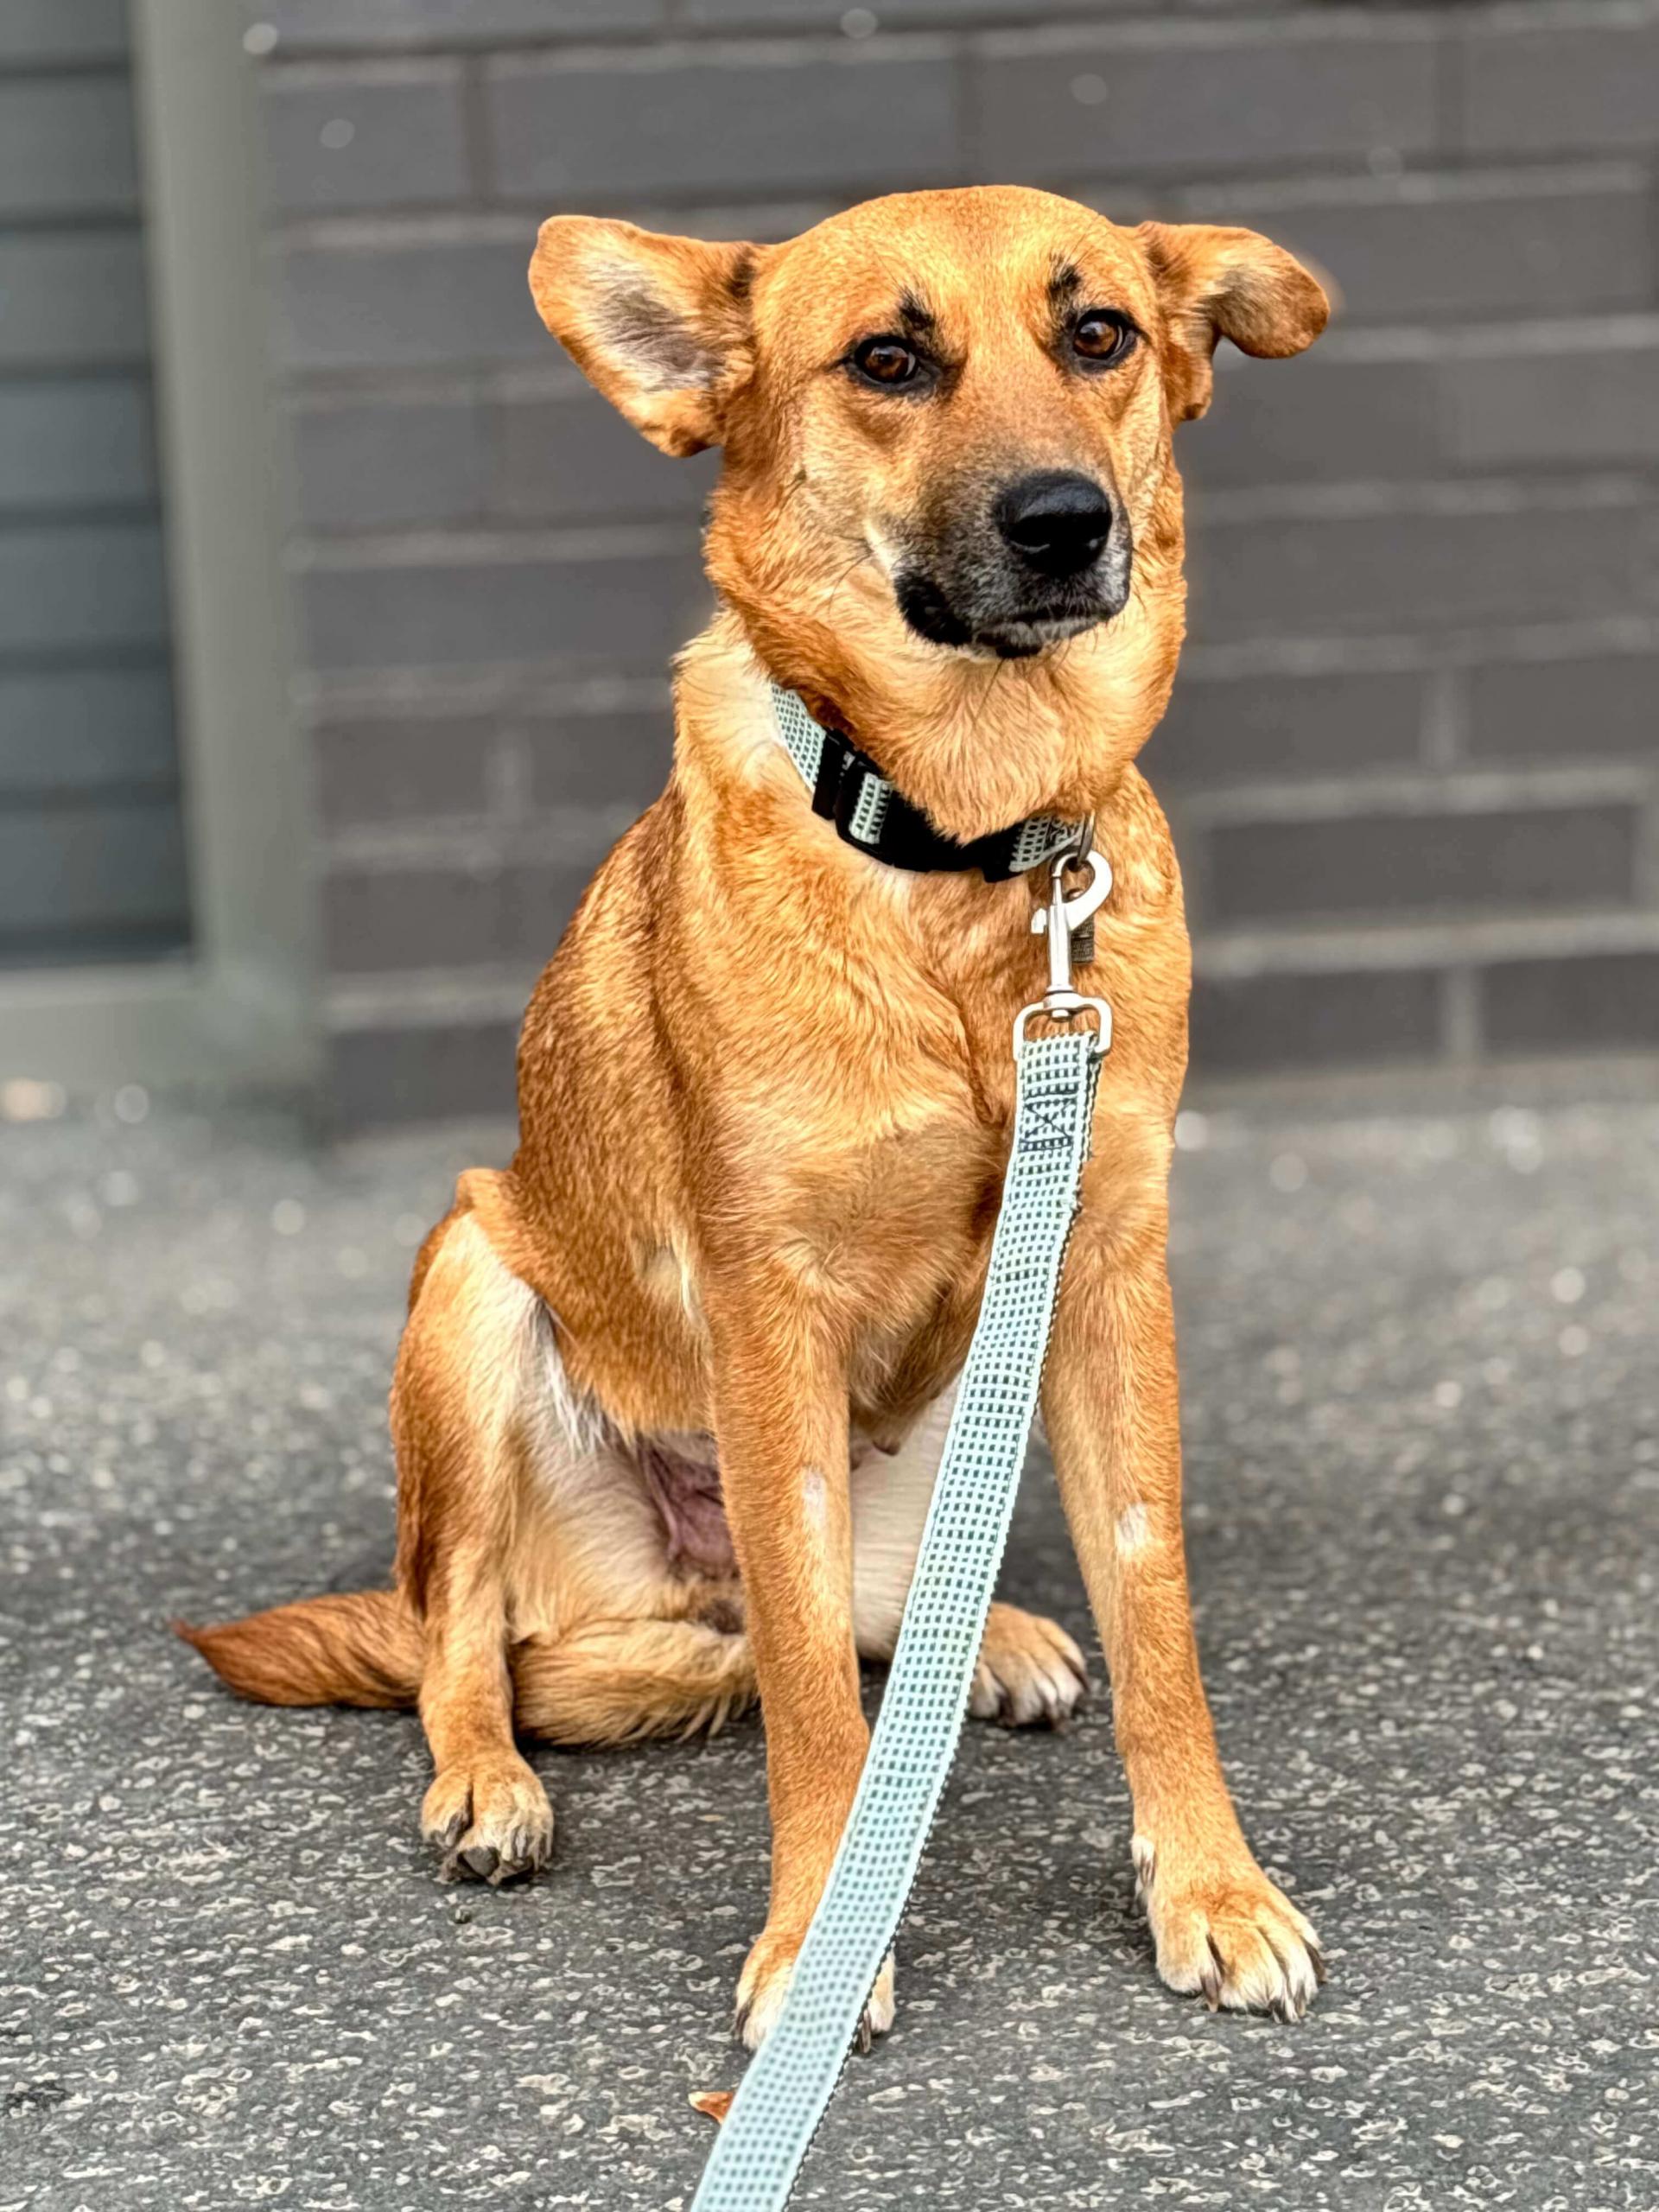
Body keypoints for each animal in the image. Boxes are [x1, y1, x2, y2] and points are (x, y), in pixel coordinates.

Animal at [182, 185, 1330, 2043]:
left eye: (1098, 335)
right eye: (887, 360)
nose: (1067, 523)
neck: (964, 857)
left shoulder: (1104, 1275)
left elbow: (1153, 1602)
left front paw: (1209, 1886)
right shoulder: (769, 1313)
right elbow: (800, 1689)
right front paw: (817, 1937)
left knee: (877, 1618)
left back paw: (988, 1637)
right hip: (470, 1280)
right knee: (466, 1633)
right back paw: (488, 1780)